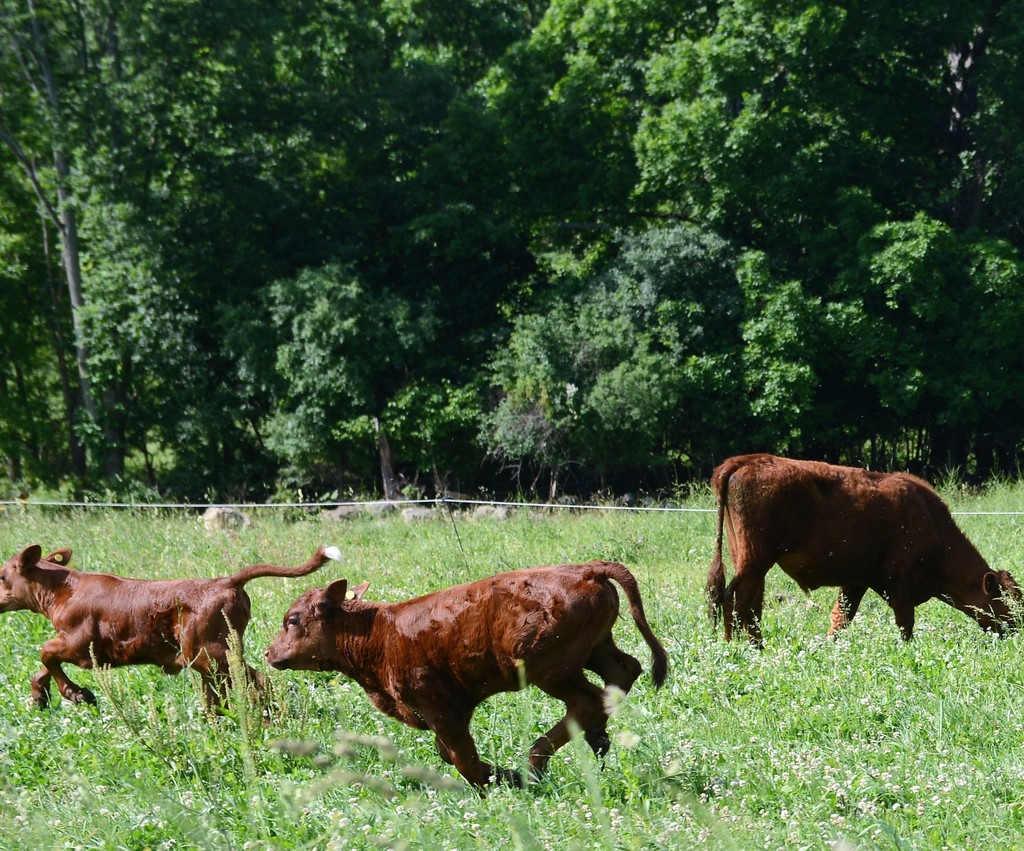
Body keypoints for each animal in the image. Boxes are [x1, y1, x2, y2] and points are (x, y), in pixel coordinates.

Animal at [0, 540, 344, 708]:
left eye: (3, 576)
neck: (63, 590)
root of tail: (227, 580)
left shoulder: (79, 645)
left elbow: (45, 652)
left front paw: (75, 693)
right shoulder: (72, 644)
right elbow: (43, 665)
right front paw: (40, 696)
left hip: (210, 655)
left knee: (258, 682)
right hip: (210, 659)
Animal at [264, 561, 667, 790]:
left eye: (293, 620)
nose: (269, 653)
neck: (379, 631)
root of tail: (585, 569)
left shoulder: (440, 706)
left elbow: (461, 756)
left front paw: (502, 780)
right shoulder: (454, 707)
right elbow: (449, 752)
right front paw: (503, 776)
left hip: (551, 670)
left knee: (587, 700)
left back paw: (535, 763)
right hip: (594, 650)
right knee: (623, 671)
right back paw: (596, 739)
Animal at [708, 456, 1019, 643]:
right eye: (1009, 600)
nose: (1017, 629)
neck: (930, 520)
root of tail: (745, 461)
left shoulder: (857, 581)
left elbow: (841, 617)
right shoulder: (901, 582)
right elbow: (905, 623)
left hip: (749, 561)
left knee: (750, 604)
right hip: (756, 560)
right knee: (735, 598)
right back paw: (737, 647)